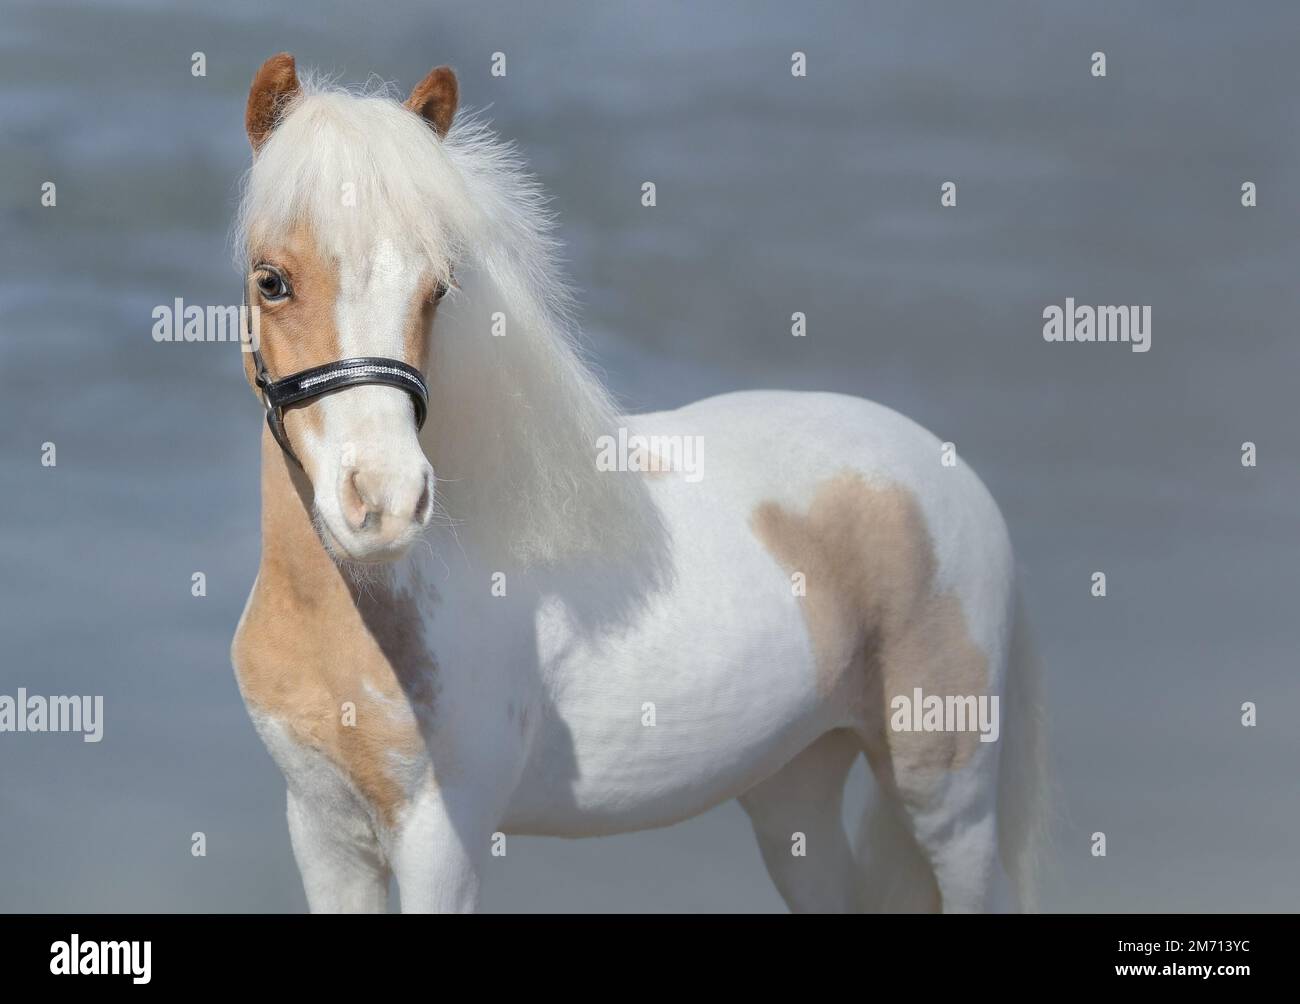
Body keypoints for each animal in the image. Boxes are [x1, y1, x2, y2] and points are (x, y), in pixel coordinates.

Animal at [230, 53, 1046, 914]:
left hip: (949, 799)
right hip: (795, 789)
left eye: (439, 287)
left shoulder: (440, 840)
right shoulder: (323, 829)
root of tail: (946, 470)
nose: (385, 505)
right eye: (272, 280)